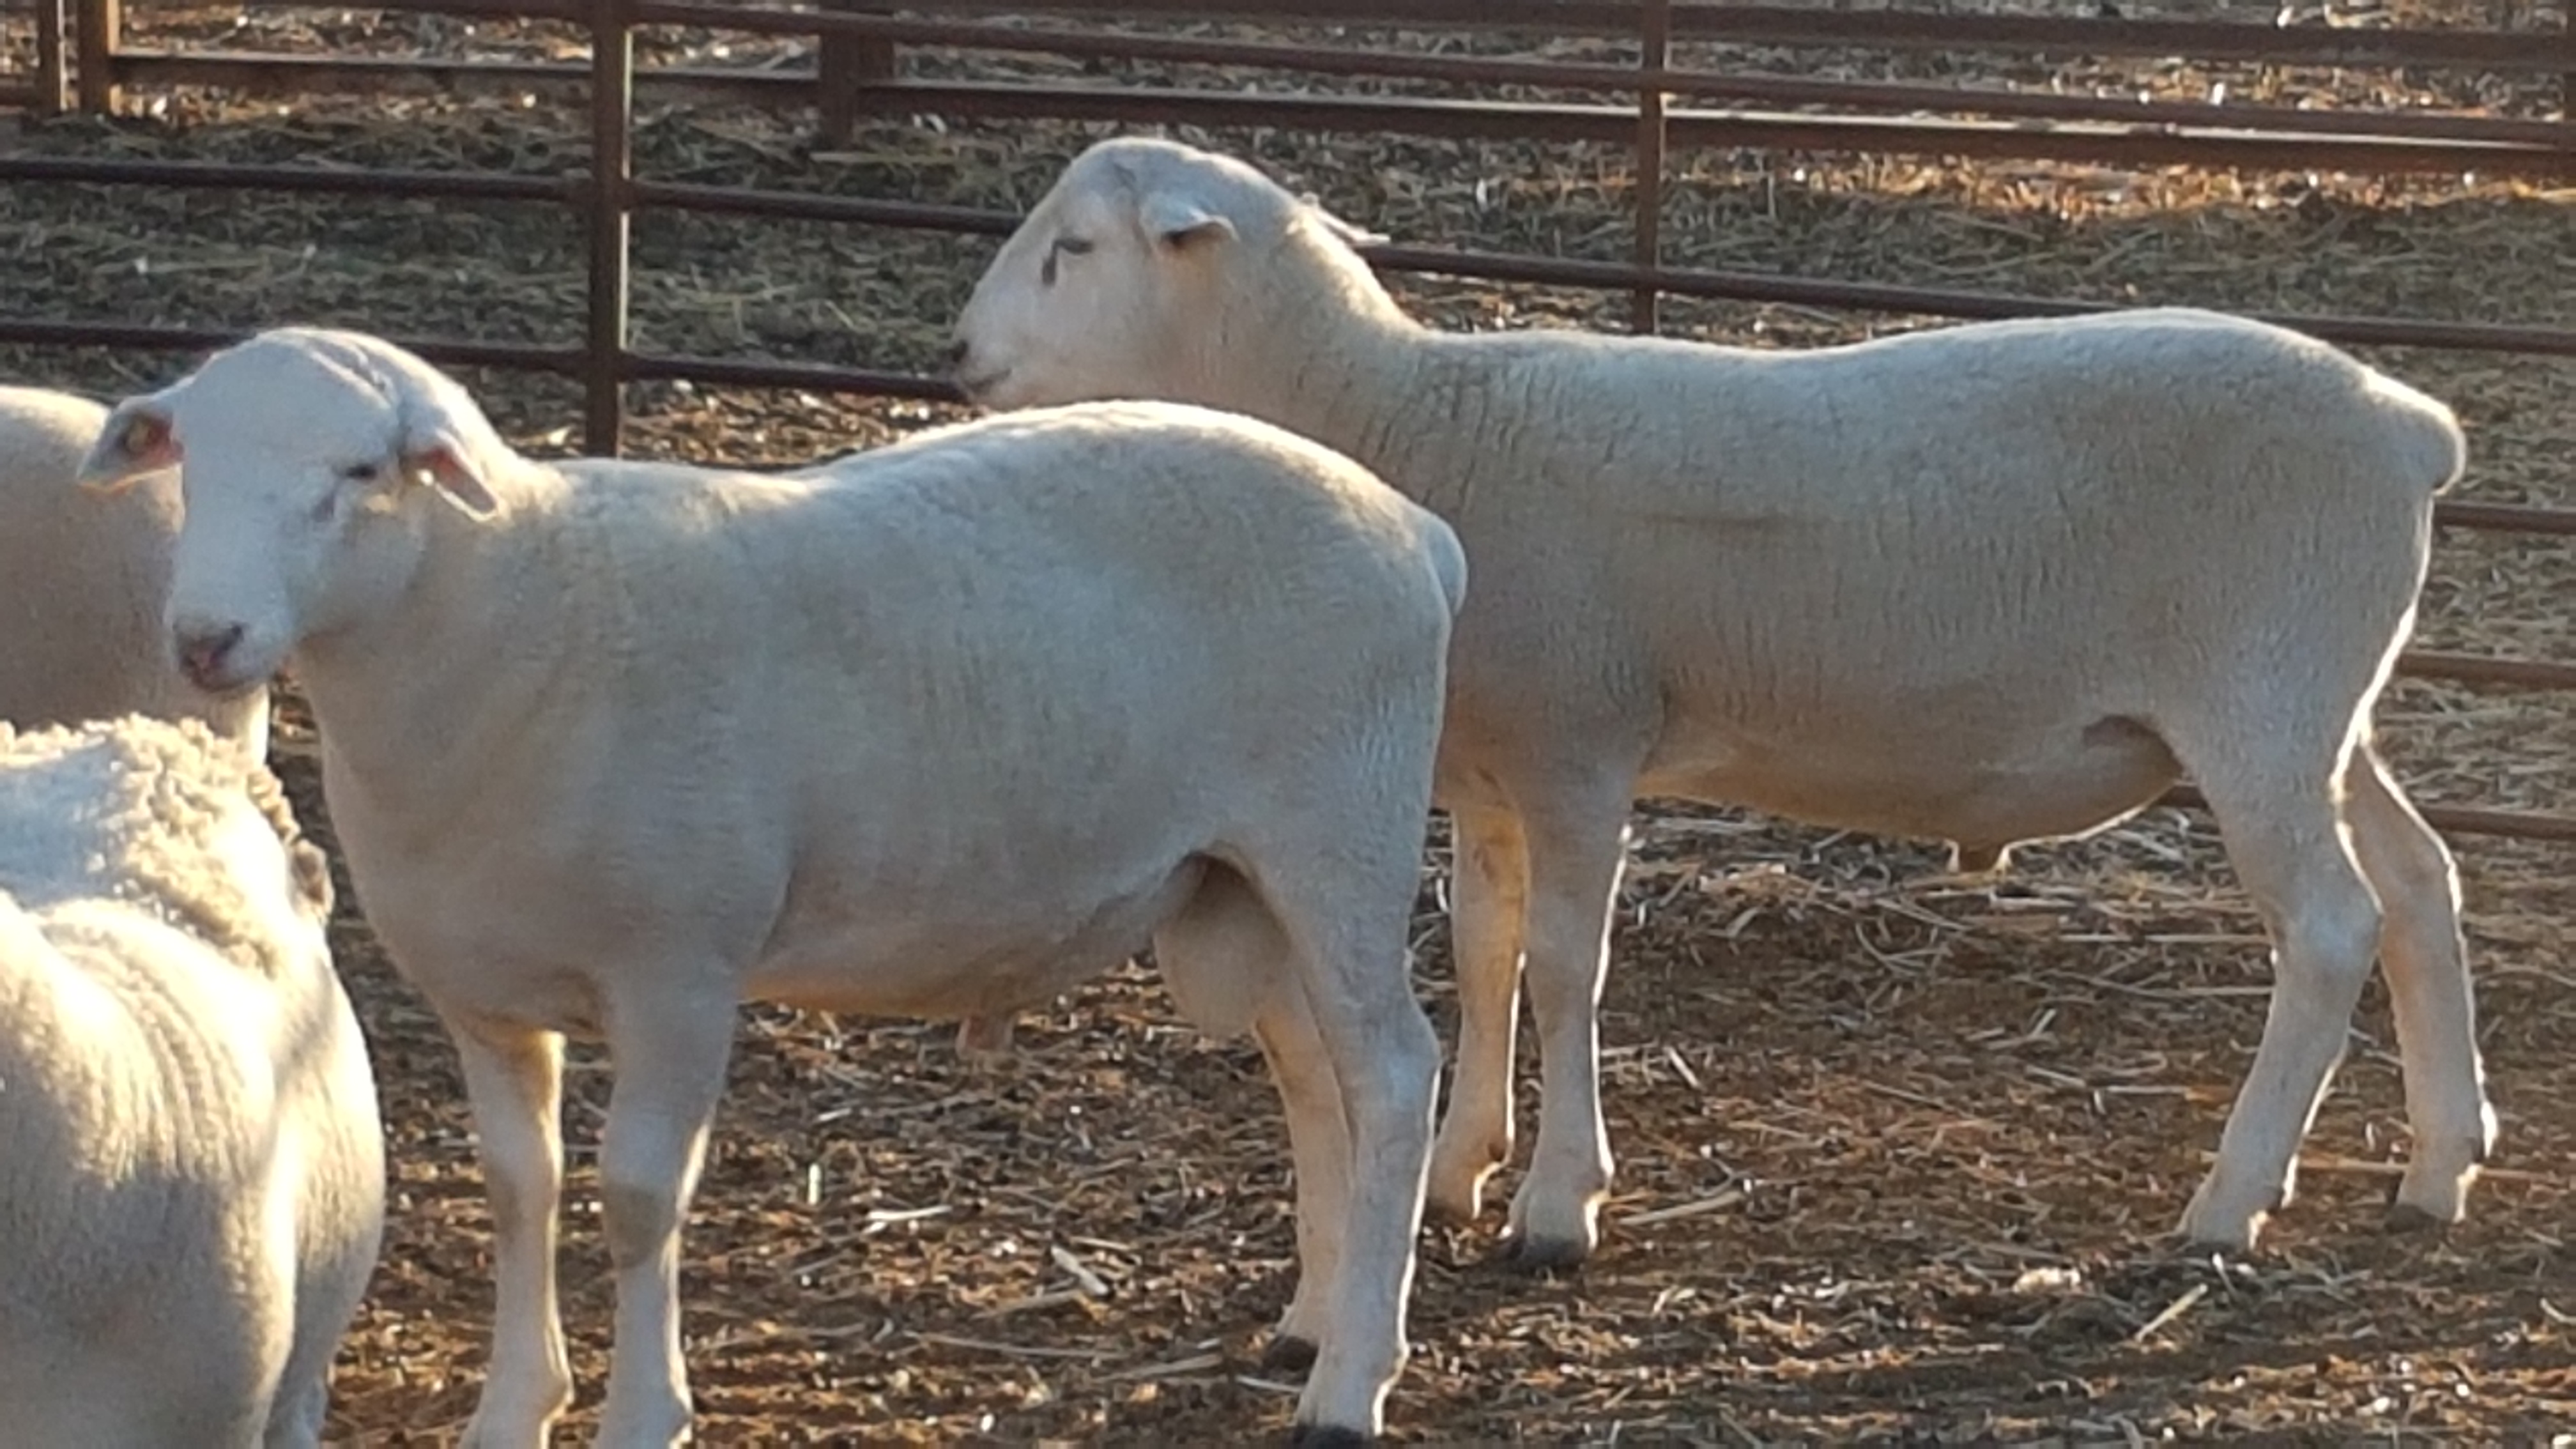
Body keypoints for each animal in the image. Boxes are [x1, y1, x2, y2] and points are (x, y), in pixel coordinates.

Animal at [75, 325, 1467, 1447]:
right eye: (188, 459)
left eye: (362, 474)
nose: (205, 639)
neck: (517, 608)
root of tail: (1420, 532)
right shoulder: (483, 994)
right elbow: (520, 1188)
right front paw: (513, 1405)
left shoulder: (679, 971)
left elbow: (638, 1198)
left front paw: (645, 1413)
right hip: (1243, 878)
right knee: (1314, 1071)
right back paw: (1313, 1321)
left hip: (1346, 831)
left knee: (1395, 1075)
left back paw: (1350, 1388)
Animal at [946, 135, 2495, 1268]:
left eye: (1073, 249)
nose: (958, 356)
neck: (1411, 418)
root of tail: (2411, 427)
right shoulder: (1488, 764)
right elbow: (1488, 953)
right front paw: (1458, 1167)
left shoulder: (1581, 738)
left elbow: (1566, 964)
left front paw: (1556, 1204)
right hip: (2323, 701)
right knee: (2419, 880)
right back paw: (2441, 1161)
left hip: (2261, 698)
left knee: (2331, 923)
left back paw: (2231, 1199)